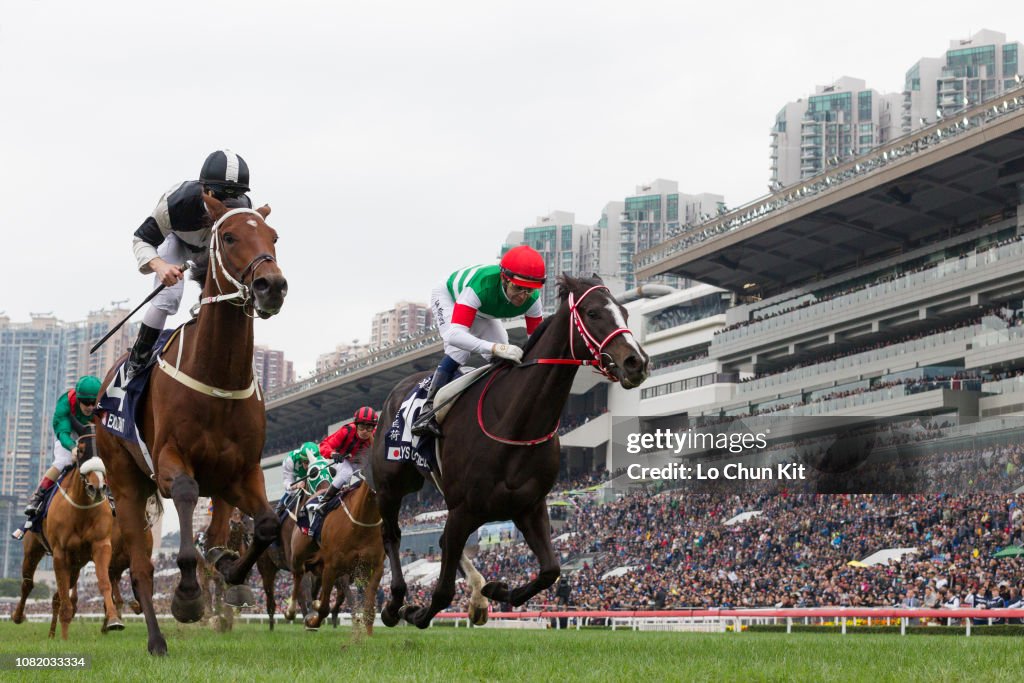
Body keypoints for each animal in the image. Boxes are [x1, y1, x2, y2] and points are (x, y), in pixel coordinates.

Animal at [10, 417, 121, 643]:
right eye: (81, 449)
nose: (97, 487)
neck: (81, 509)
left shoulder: (101, 545)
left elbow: (103, 583)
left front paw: (114, 620)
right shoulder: (60, 553)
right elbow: (64, 600)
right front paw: (64, 638)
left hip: (76, 565)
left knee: (56, 597)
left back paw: (52, 634)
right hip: (33, 550)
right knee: (28, 584)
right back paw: (18, 616)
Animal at [96, 196, 288, 655]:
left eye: (273, 236)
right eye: (230, 236)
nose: (272, 285)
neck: (218, 375)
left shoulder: (243, 470)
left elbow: (267, 524)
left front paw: (233, 572)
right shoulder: (170, 462)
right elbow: (184, 499)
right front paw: (186, 596)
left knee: (215, 526)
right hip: (126, 483)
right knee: (141, 569)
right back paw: (156, 640)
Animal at [296, 481, 385, 634]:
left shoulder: (375, 566)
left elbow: (369, 606)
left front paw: (368, 635)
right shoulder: (331, 567)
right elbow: (324, 607)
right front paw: (312, 621)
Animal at [376, 274, 647, 630]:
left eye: (625, 313)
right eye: (592, 313)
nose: (636, 362)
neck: (514, 421)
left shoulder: (528, 506)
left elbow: (550, 570)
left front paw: (496, 590)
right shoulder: (462, 509)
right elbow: (444, 590)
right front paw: (416, 612)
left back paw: (477, 598)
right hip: (392, 483)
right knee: (392, 535)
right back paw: (395, 602)